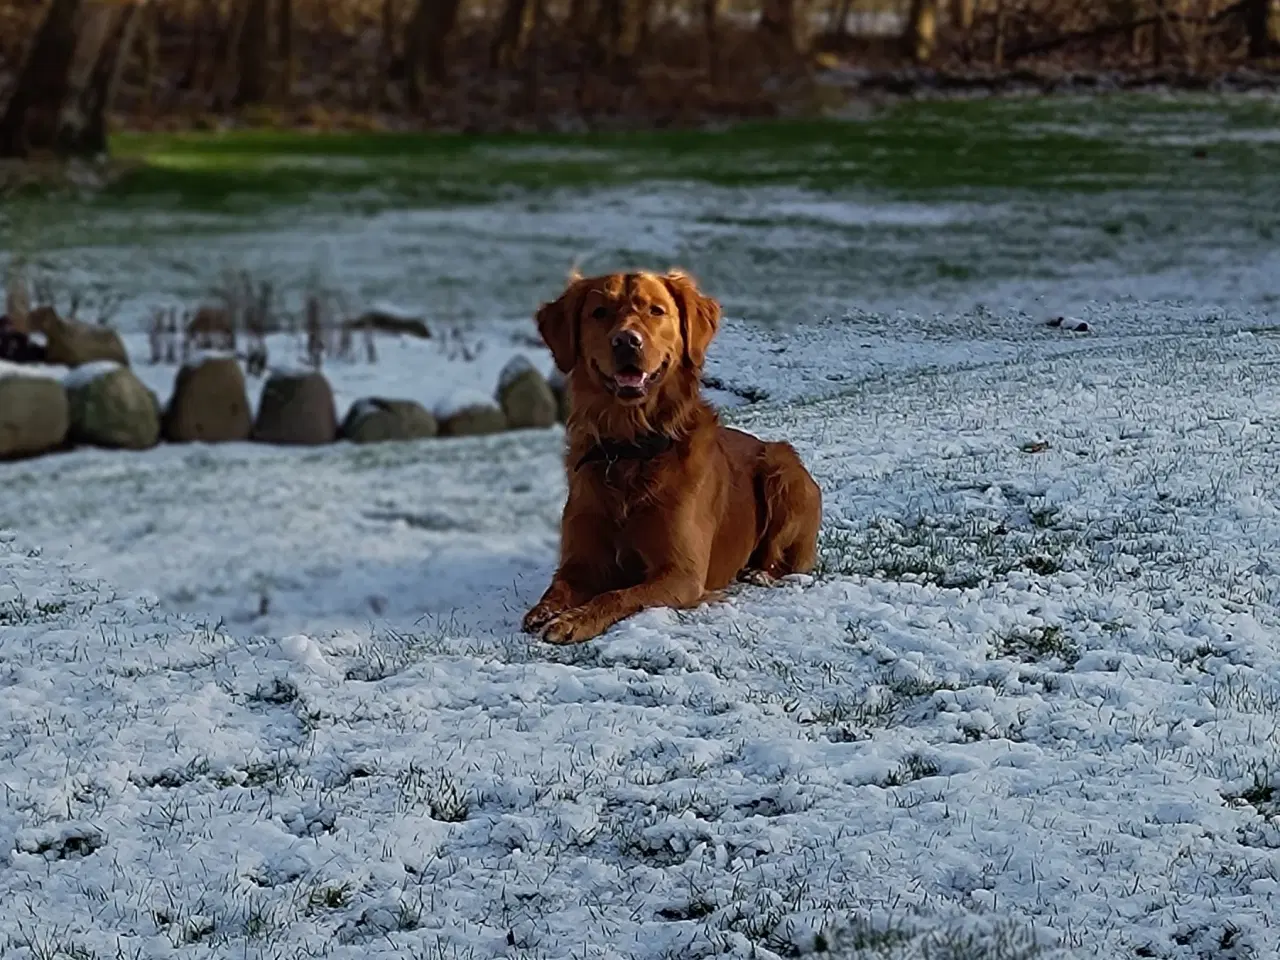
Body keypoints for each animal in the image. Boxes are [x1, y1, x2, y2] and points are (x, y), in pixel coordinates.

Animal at [519, 271, 819, 647]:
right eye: (599, 312)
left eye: (656, 310)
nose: (626, 341)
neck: (629, 448)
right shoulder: (580, 561)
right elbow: (558, 586)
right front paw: (545, 610)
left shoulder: (681, 574)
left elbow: (617, 595)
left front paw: (576, 619)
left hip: (783, 467)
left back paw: (760, 573)